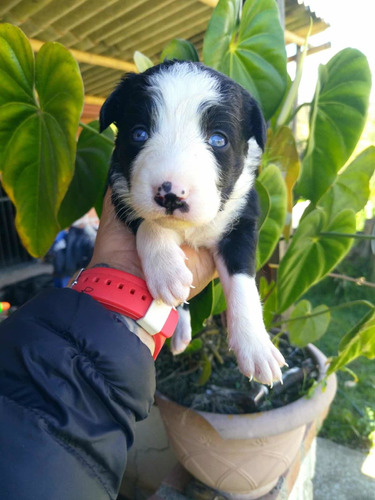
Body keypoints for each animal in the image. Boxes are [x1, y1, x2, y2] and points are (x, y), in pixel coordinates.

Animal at [99, 59, 284, 386]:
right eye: (139, 134)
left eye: (218, 140)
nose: (171, 194)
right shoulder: (120, 192)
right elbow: (149, 222)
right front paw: (167, 270)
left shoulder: (242, 220)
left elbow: (243, 281)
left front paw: (256, 347)